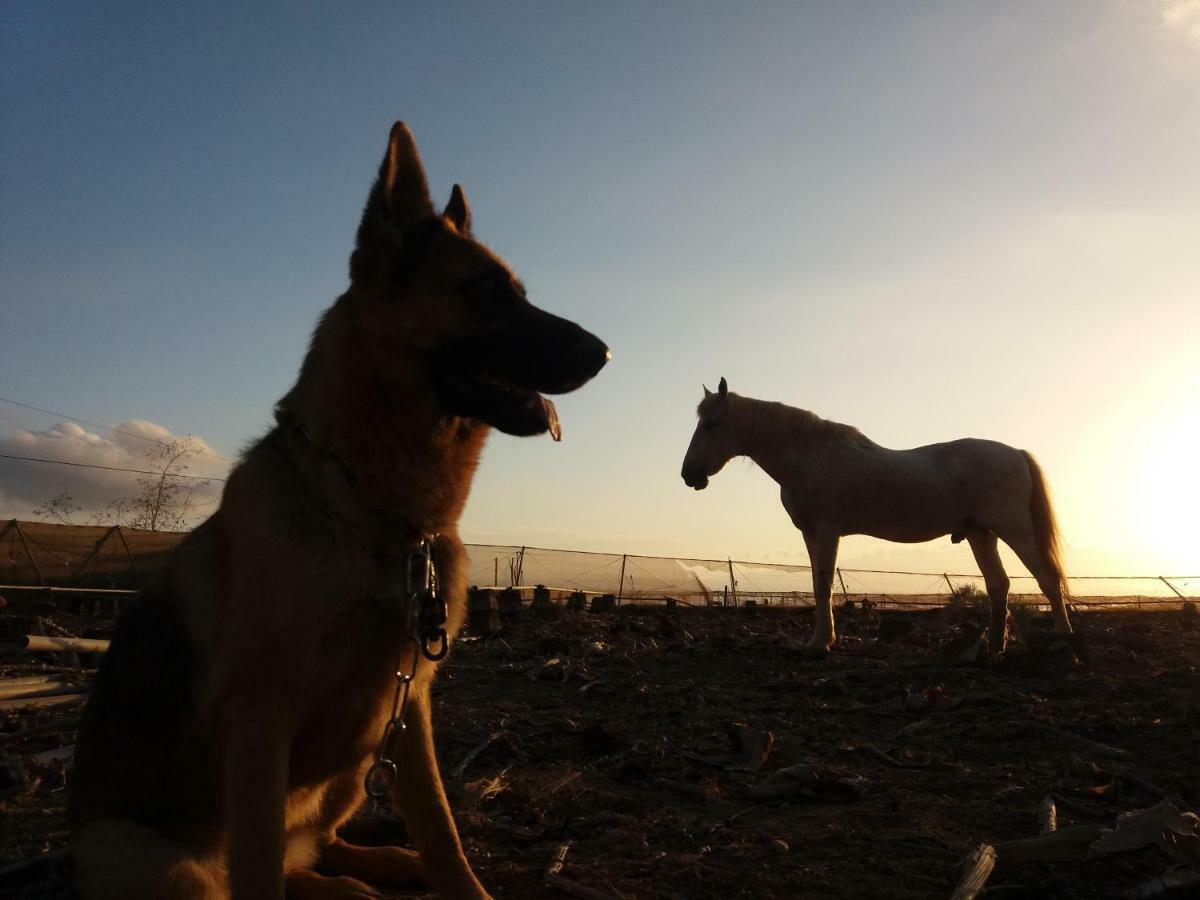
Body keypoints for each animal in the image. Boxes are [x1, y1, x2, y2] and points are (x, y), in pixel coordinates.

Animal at [69, 121, 609, 900]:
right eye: (484, 292)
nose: (606, 352)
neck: (377, 515)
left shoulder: (410, 706)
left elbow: (443, 832)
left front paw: (460, 885)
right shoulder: (260, 721)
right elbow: (260, 868)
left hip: (355, 768)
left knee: (317, 848)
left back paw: (378, 869)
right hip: (172, 866)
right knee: (256, 872)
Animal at [681, 376, 1075, 657]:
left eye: (712, 425)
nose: (689, 474)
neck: (809, 454)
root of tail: (1016, 453)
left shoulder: (827, 530)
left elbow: (824, 584)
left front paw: (820, 643)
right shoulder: (810, 534)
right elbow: (817, 584)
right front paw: (820, 639)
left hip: (1014, 529)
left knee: (1046, 578)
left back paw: (1063, 640)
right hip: (980, 533)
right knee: (999, 585)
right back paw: (994, 647)